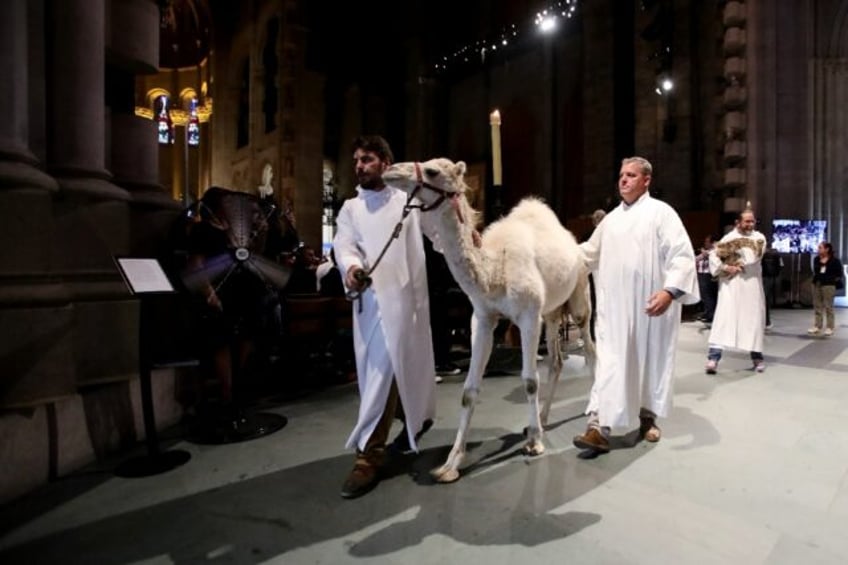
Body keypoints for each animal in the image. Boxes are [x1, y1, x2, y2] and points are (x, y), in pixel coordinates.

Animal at [384, 156, 596, 482]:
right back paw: (543, 417)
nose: (390, 171)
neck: (495, 270)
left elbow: (529, 380)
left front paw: (534, 443)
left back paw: (591, 409)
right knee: (557, 361)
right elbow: (469, 391)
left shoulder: (528, 316)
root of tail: (576, 245)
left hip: (579, 299)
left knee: (591, 350)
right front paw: (450, 463)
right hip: (551, 312)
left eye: (432, 171)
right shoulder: (483, 319)